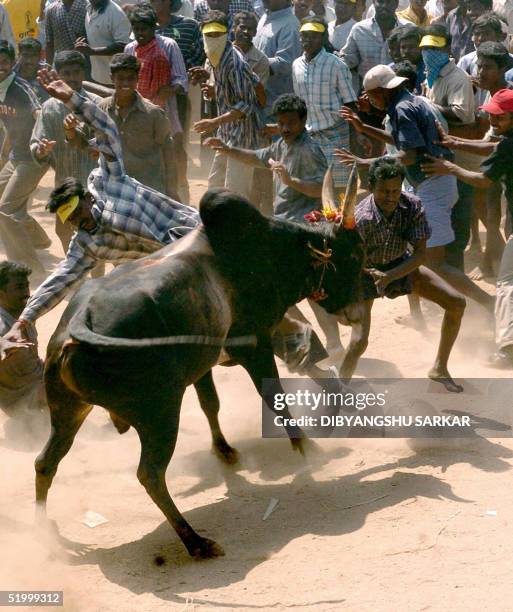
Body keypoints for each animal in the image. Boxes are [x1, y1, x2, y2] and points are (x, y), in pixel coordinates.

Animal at [35, 170, 364, 556]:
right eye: (355, 253)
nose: (355, 312)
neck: (271, 246)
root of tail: (76, 326)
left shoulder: (204, 364)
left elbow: (211, 404)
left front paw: (225, 452)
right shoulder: (255, 344)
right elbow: (276, 400)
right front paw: (309, 449)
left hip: (68, 411)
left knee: (45, 463)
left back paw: (46, 533)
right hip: (159, 412)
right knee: (150, 473)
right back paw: (196, 542)